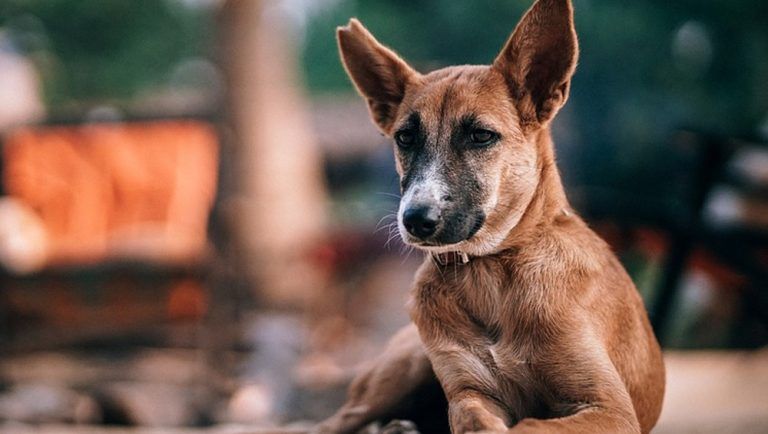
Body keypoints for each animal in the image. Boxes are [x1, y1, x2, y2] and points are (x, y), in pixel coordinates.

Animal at [316, 1, 664, 432]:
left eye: (481, 135)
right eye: (405, 137)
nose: (415, 220)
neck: (489, 271)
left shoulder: (608, 407)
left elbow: (531, 425)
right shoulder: (470, 391)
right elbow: (472, 416)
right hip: (408, 365)